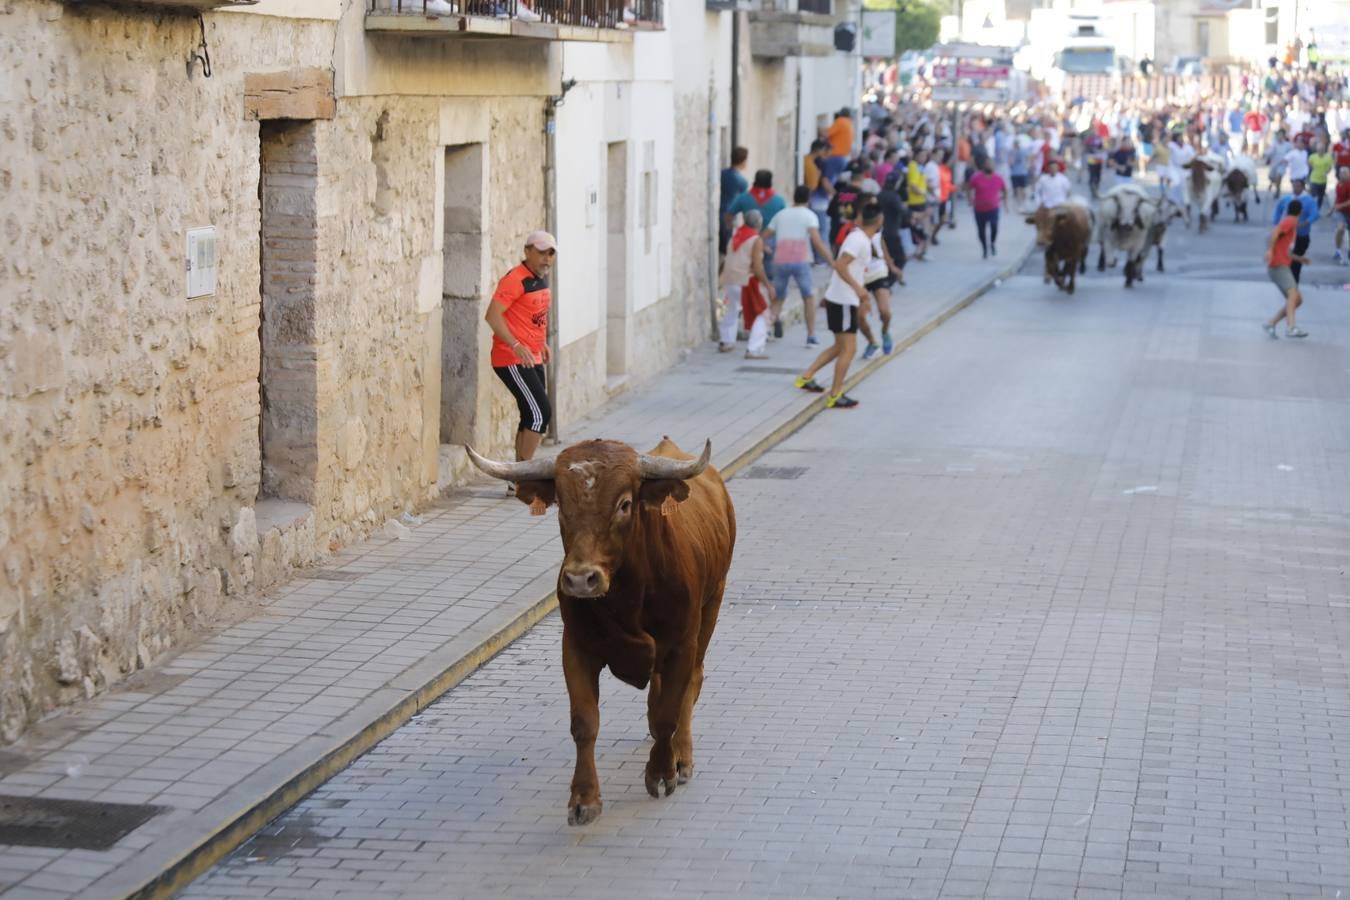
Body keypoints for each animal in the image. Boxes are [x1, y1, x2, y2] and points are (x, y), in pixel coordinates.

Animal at [467, 439, 739, 825]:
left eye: (624, 504)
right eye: (562, 504)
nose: (581, 579)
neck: (628, 596)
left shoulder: (681, 646)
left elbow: (669, 713)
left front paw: (661, 773)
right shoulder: (576, 648)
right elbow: (585, 723)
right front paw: (584, 799)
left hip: (712, 606)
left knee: (692, 683)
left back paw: (682, 756)